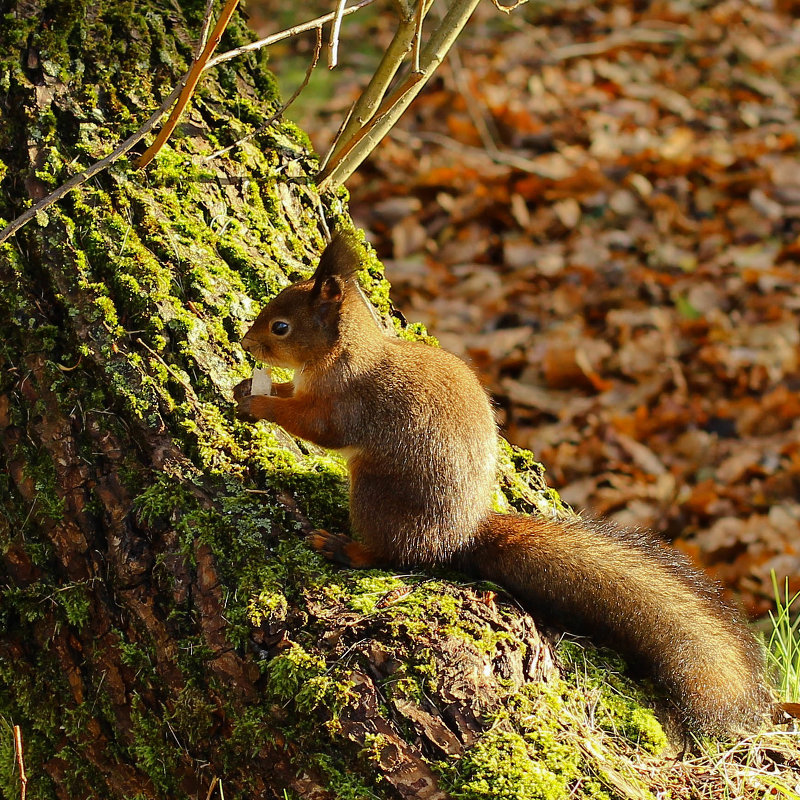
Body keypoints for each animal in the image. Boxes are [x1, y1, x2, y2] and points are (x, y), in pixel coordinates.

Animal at [234, 228, 772, 736]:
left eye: (281, 326)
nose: (244, 343)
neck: (344, 354)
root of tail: (461, 534)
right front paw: (251, 386)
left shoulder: (347, 404)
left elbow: (316, 428)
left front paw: (260, 403)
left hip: (376, 495)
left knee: (392, 553)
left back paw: (343, 547)